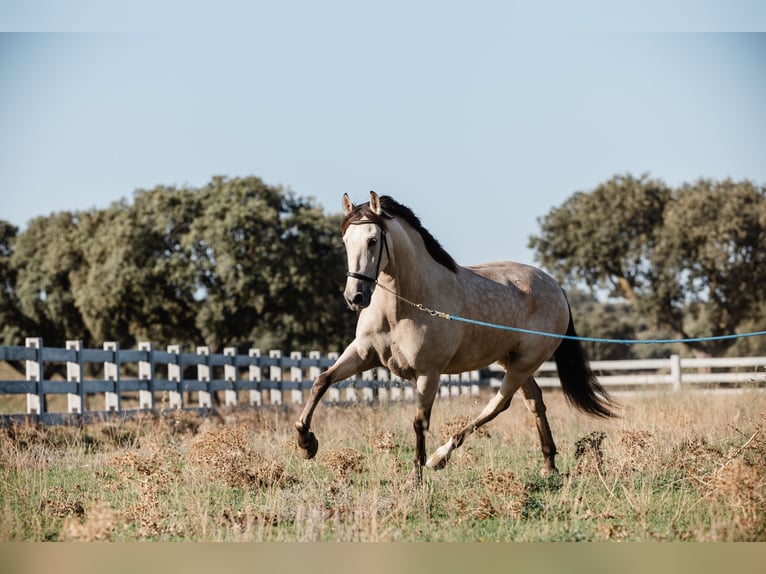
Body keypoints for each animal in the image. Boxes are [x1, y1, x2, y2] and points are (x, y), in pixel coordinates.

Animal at [296, 191, 616, 480]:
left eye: (373, 240)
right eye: (346, 241)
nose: (355, 297)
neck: (403, 307)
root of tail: (555, 286)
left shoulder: (428, 374)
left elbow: (419, 422)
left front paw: (416, 477)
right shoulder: (363, 354)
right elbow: (321, 381)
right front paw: (305, 442)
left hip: (525, 362)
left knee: (499, 404)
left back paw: (439, 458)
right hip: (511, 359)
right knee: (534, 401)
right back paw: (548, 464)